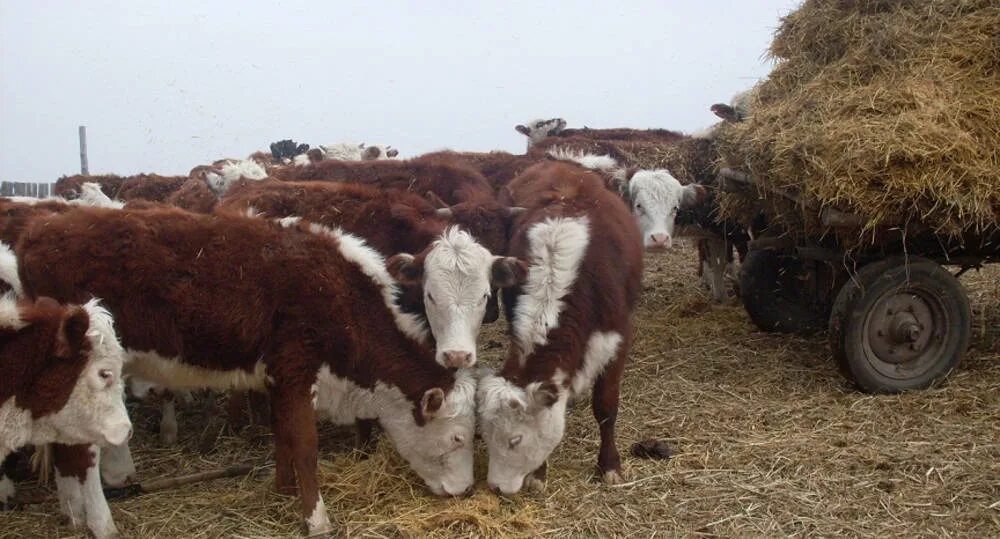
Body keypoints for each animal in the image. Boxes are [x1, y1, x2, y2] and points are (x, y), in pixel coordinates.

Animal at [14, 208, 512, 536]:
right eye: (458, 438)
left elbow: (282, 436)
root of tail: (40, 229)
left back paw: (72, 513)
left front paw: (283, 489)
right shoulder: (295, 368)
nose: (464, 491)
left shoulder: (276, 376)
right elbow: (305, 445)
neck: (337, 293)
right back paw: (100, 522)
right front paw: (316, 518)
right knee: (82, 454)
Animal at [476, 162, 640, 496]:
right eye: (484, 435)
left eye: (516, 440)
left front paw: (610, 465)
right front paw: (539, 473)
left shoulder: (618, 339)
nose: (496, 487)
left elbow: (606, 405)